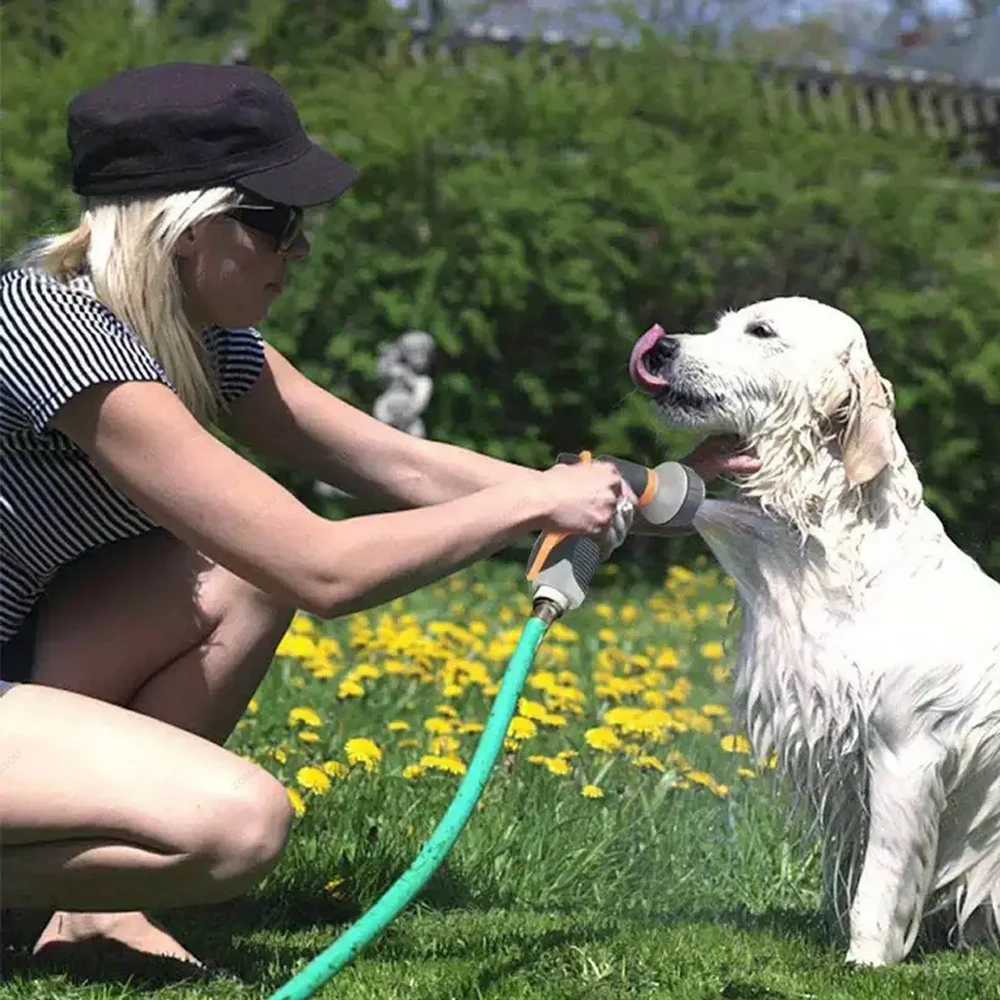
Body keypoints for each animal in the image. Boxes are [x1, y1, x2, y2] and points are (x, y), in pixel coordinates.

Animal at [628, 298, 1000, 968]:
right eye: (721, 324)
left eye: (761, 331)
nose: (663, 347)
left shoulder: (906, 754)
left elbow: (879, 879)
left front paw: (865, 959)